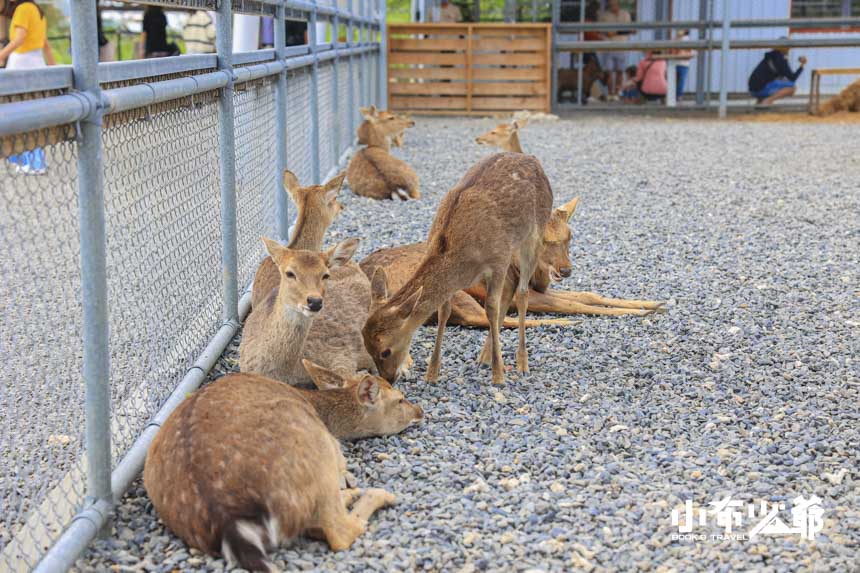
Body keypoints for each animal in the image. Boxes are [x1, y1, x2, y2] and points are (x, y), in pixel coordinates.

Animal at [145, 366, 424, 572]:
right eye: (400, 400)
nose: (420, 411)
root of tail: (229, 523)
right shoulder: (334, 447)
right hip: (316, 450)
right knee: (339, 532)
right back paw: (375, 495)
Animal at [362, 152, 552, 384]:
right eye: (366, 347)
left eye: (385, 351)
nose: (388, 379)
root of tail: (533, 160)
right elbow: (444, 311)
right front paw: (432, 373)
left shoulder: (499, 259)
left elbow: (491, 308)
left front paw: (498, 376)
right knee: (510, 287)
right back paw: (484, 356)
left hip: (535, 234)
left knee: (522, 292)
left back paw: (522, 363)